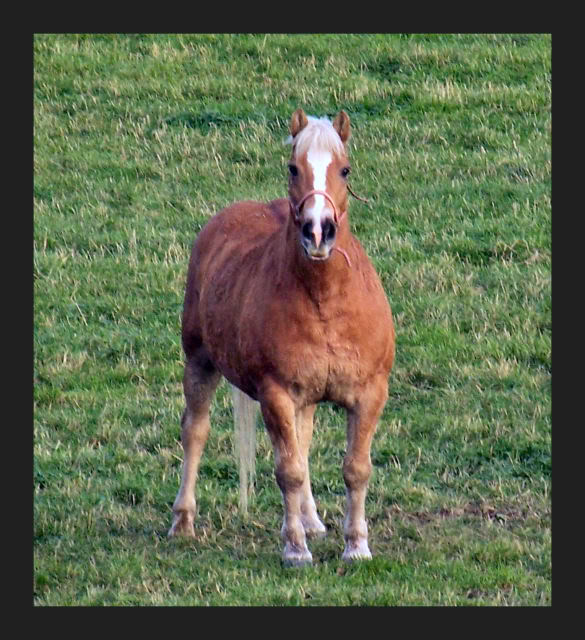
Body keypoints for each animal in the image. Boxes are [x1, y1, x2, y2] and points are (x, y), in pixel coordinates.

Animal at [169, 109, 396, 564]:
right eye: (294, 168)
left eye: (345, 169)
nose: (317, 231)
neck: (325, 299)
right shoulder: (275, 395)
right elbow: (288, 470)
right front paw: (294, 548)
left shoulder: (369, 394)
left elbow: (355, 469)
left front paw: (356, 545)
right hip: (200, 362)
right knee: (195, 431)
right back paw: (183, 520)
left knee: (303, 443)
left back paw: (312, 520)